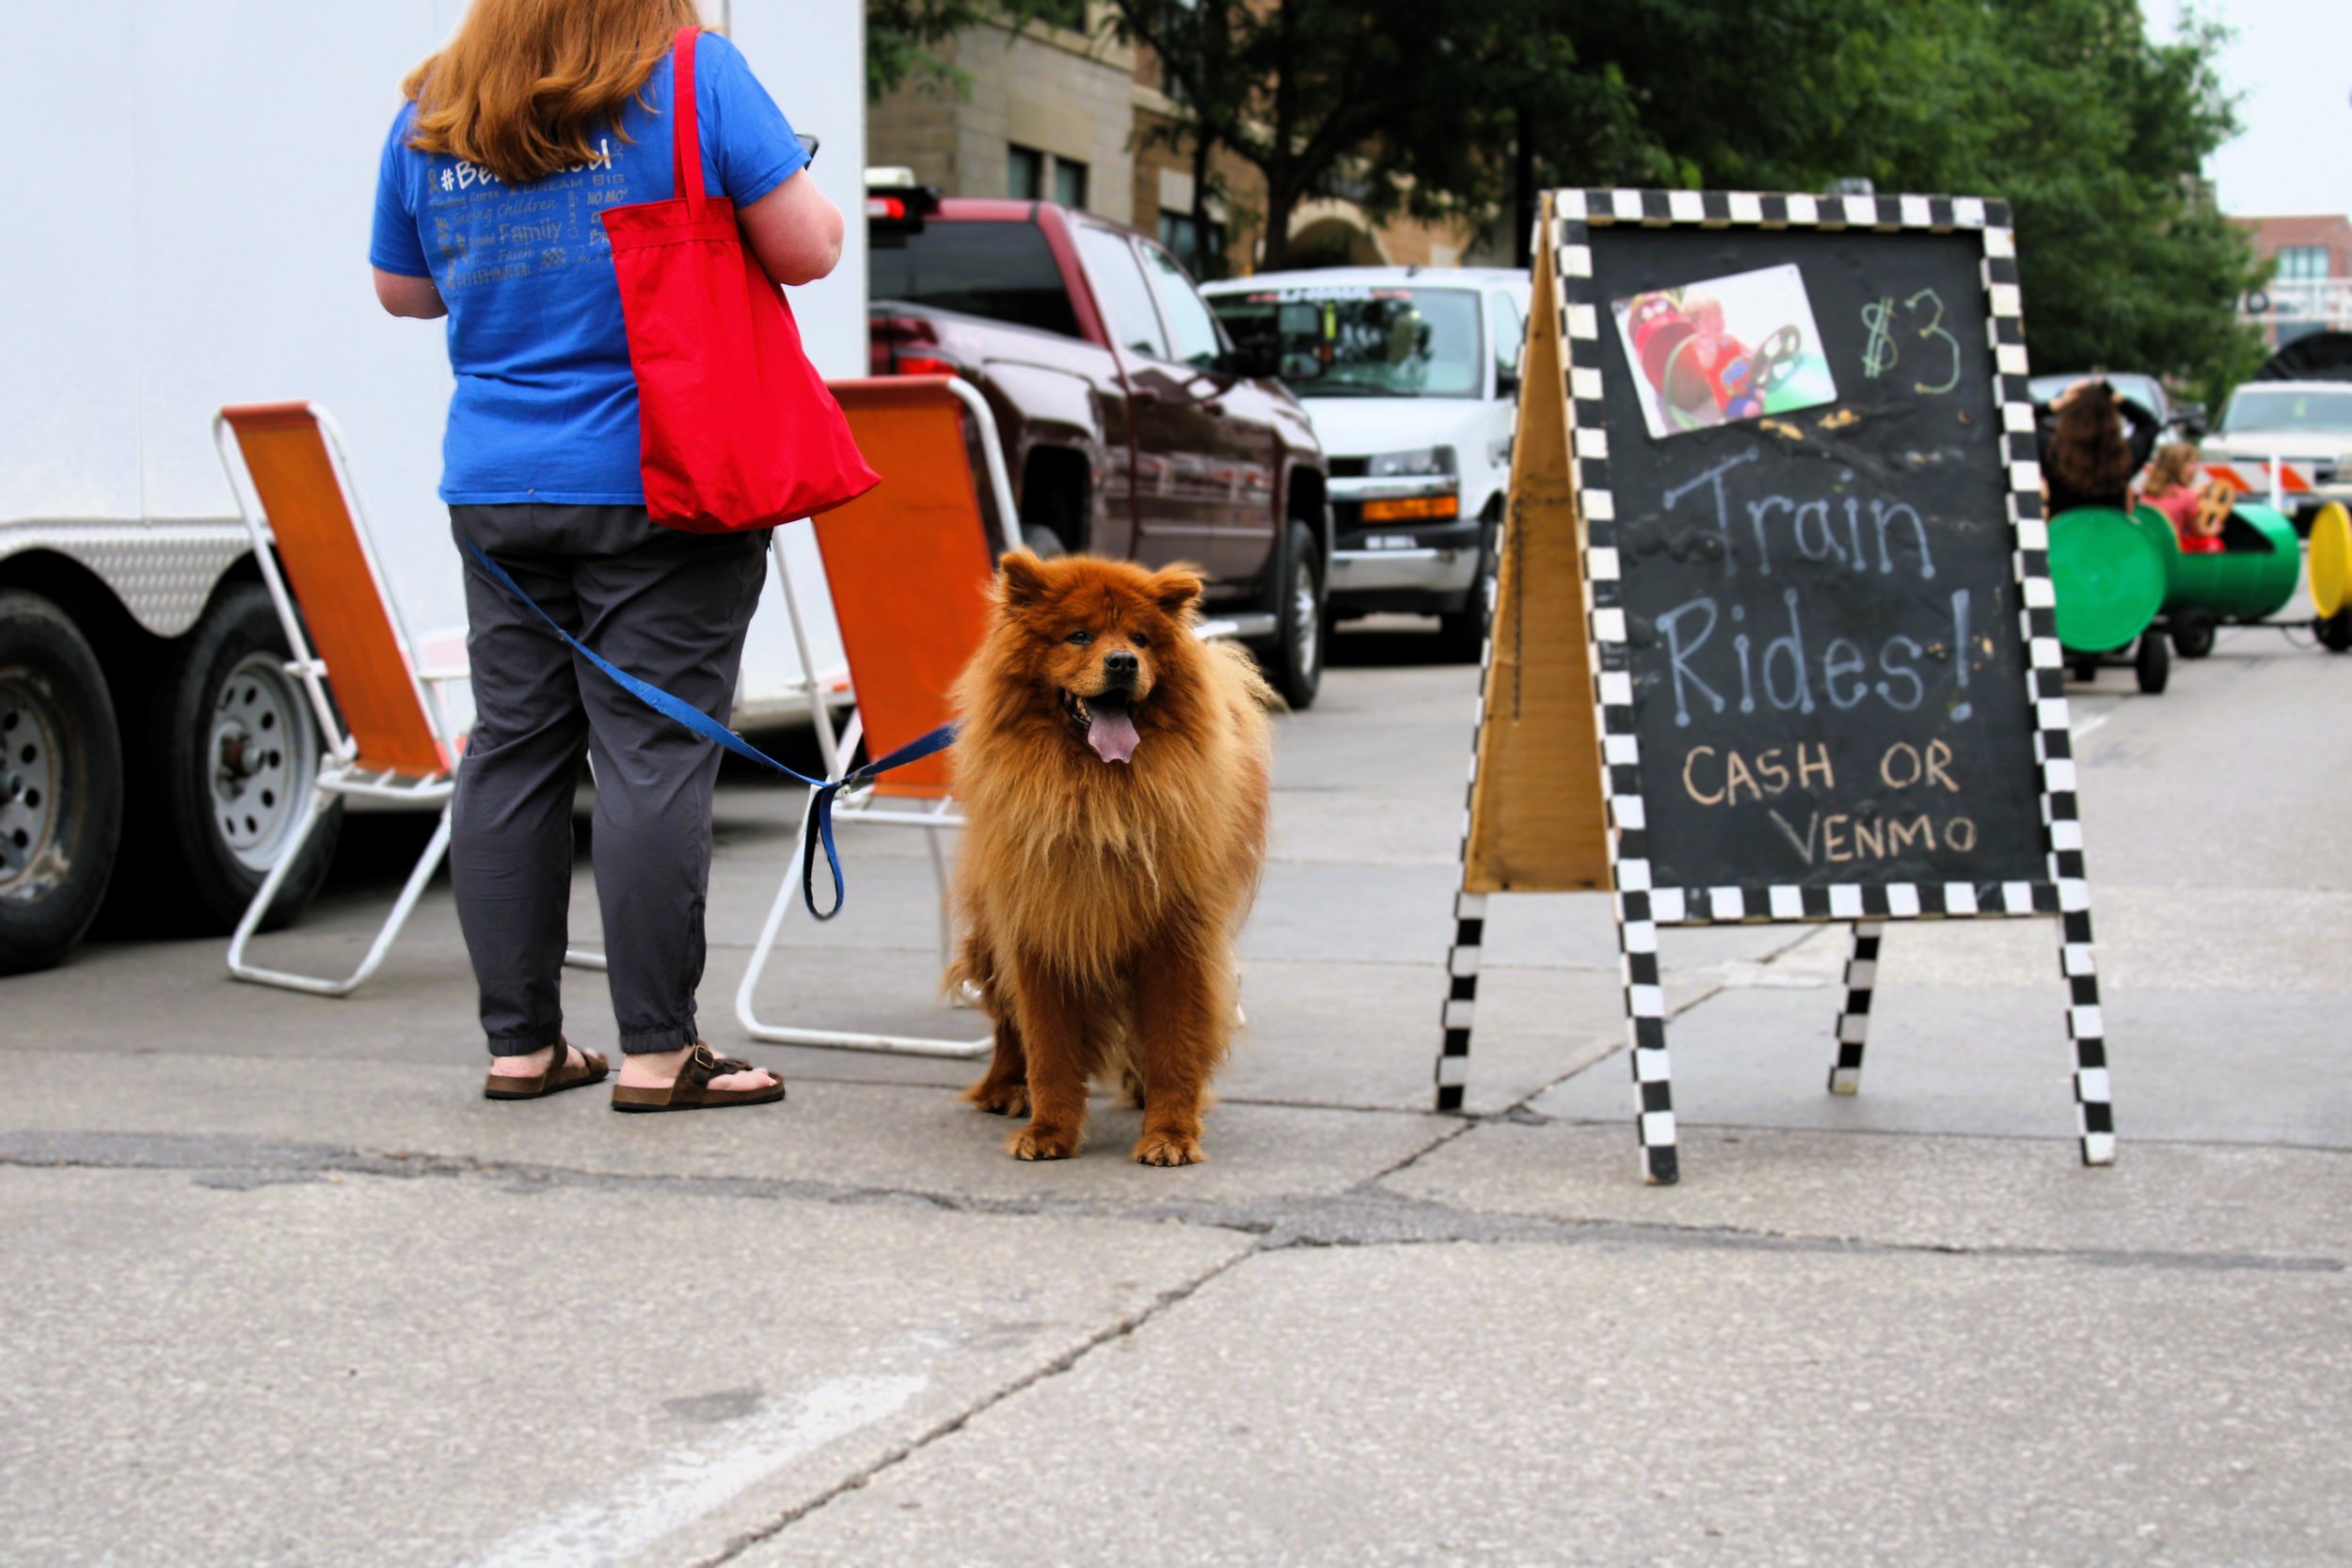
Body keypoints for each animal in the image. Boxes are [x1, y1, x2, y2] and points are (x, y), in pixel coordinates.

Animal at [947, 550, 1274, 1165]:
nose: (1123, 661)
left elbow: (1174, 1045)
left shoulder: (1176, 940)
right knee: (1006, 1024)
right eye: (1080, 635)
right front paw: (1048, 1133)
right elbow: (1048, 1048)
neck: (1097, 796)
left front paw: (1170, 1136)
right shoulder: (1039, 930)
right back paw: (1003, 1090)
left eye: (1141, 640)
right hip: (990, 931)